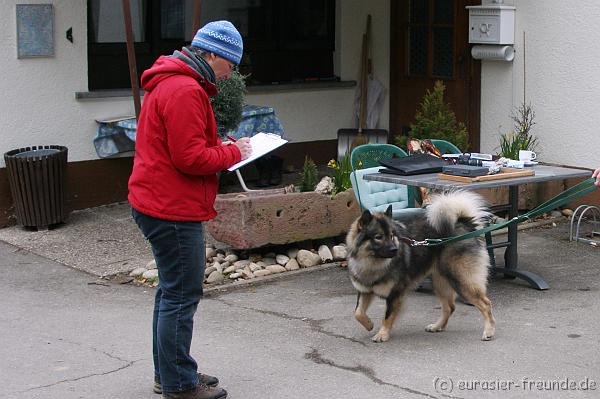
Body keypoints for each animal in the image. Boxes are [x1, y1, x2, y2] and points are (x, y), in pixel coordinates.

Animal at [344, 191, 494, 344]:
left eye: (391, 235)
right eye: (378, 237)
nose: (395, 249)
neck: (373, 263)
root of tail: (464, 223)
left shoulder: (395, 294)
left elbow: (387, 316)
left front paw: (382, 334)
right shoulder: (365, 291)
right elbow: (358, 312)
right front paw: (369, 325)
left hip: (461, 281)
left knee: (486, 304)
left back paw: (489, 331)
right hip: (440, 282)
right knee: (449, 307)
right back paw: (437, 326)